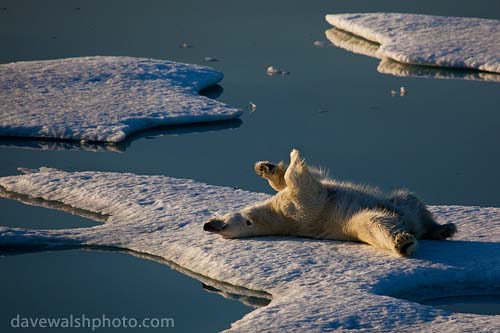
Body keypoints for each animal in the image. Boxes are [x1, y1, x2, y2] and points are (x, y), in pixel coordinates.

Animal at [204, 149, 458, 255]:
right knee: (377, 223)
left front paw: (265, 167)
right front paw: (295, 158)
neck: (276, 216)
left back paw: (443, 228)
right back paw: (404, 242)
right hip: (354, 222)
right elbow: (305, 186)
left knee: (412, 202)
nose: (209, 225)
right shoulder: (300, 210)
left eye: (224, 225)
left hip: (400, 201)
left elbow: (290, 182)